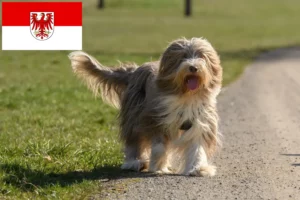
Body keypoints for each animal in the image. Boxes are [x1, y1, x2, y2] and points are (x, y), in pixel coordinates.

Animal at [68, 37, 223, 177]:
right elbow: (159, 146)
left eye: (201, 56)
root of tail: (135, 70)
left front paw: (198, 168)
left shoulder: (200, 122)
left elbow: (197, 147)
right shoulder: (154, 118)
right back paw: (134, 162)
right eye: (183, 56)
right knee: (133, 139)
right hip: (133, 115)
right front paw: (158, 167)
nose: (193, 67)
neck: (186, 97)